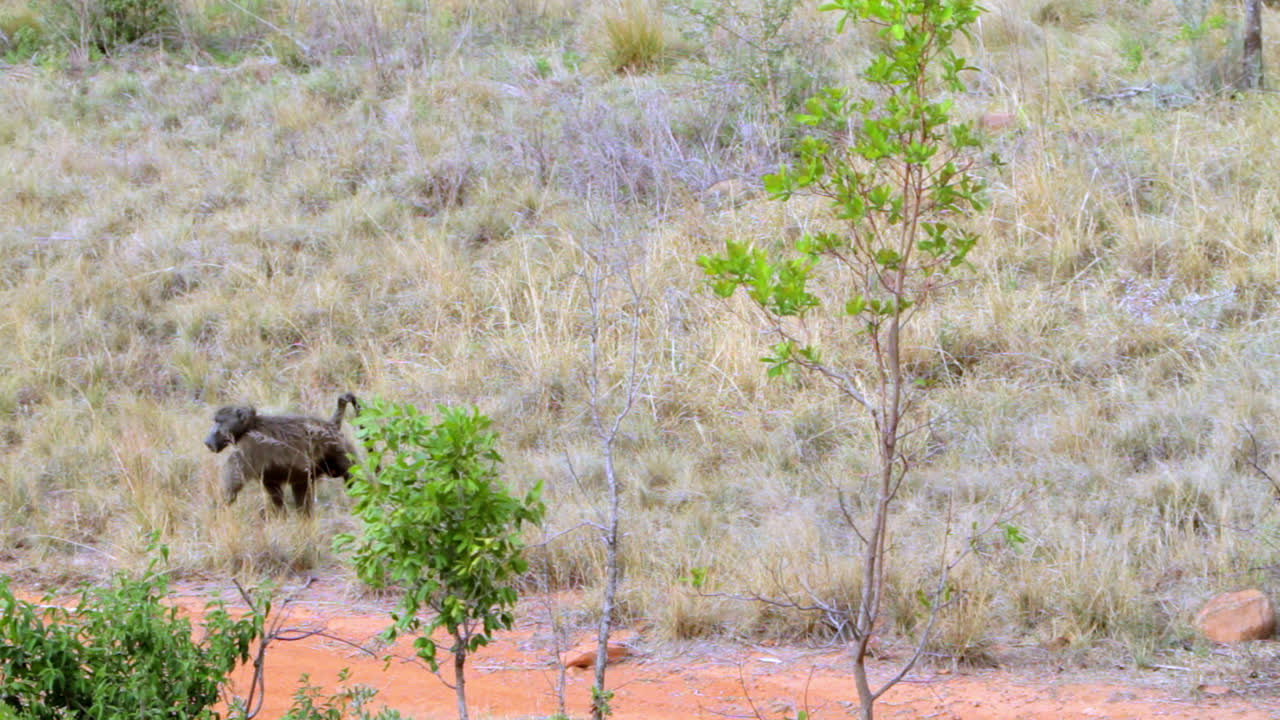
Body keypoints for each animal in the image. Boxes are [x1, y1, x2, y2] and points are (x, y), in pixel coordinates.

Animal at [204, 393, 361, 515]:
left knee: (354, 475)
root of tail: (331, 425)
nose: (207, 441)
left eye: (219, 422)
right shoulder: (268, 477)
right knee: (302, 486)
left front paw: (220, 507)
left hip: (338, 450)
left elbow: (234, 481)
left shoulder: (248, 446)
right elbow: (274, 491)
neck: (250, 426)